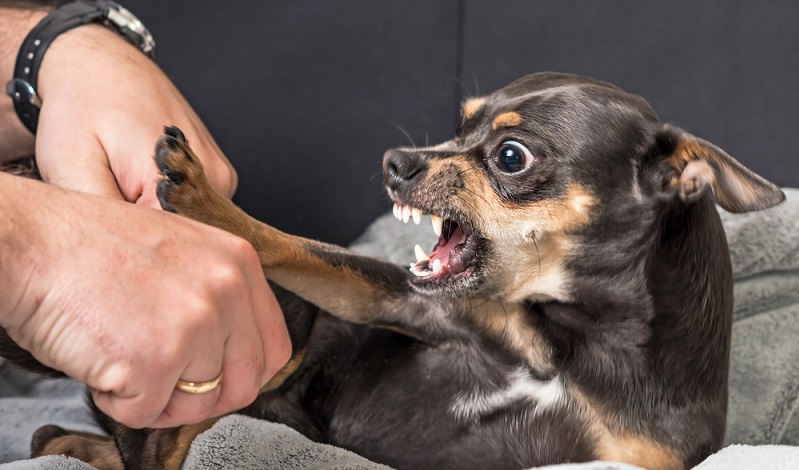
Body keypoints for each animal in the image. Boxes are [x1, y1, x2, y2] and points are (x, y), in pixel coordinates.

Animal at [3, 70, 784, 470]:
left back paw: (68, 442)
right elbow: (290, 244)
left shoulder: (633, 460)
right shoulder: (402, 303)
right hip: (285, 336)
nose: (396, 161)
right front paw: (203, 199)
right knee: (151, 445)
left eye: (510, 156)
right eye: (460, 125)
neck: (568, 341)